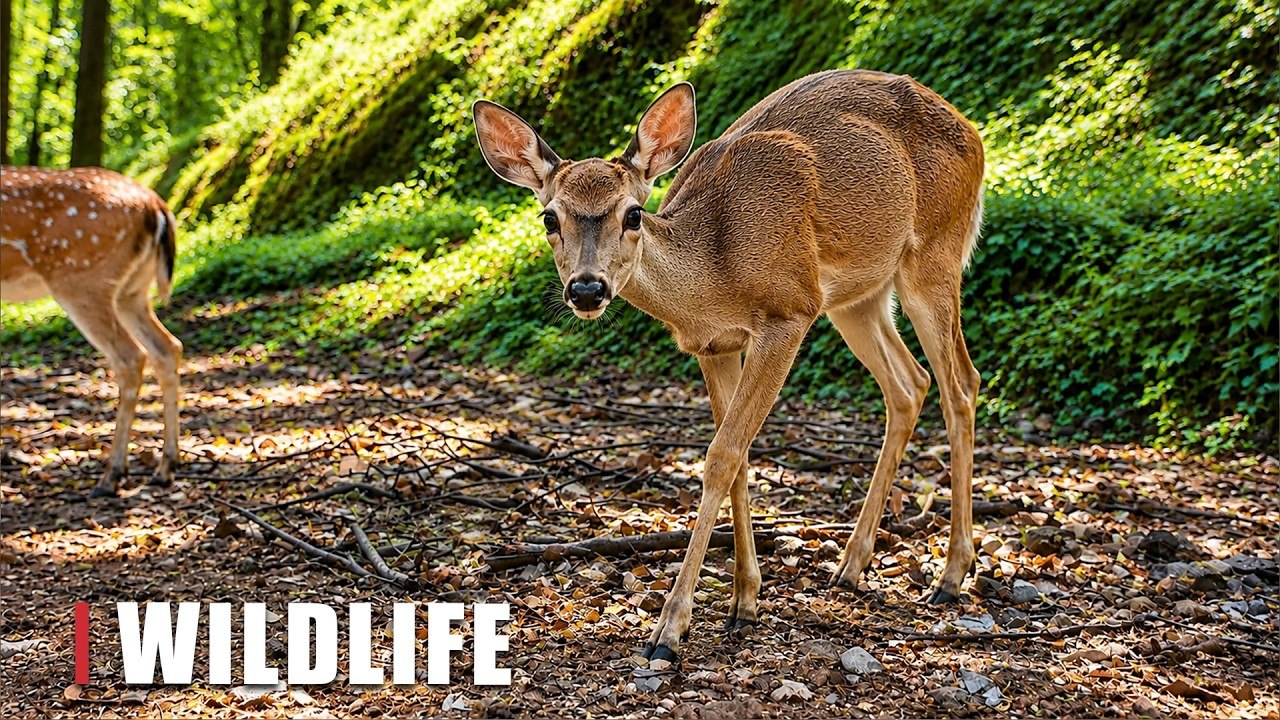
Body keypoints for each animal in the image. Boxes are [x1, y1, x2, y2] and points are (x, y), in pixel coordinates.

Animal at [1, 166, 182, 498]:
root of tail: (156, 206)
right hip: (132, 290)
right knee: (167, 346)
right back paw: (165, 468)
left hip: (81, 279)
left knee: (131, 355)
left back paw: (111, 476)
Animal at [474, 69, 984, 664]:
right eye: (549, 216)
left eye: (632, 213)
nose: (586, 289)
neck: (717, 273)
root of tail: (973, 131)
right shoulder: (715, 346)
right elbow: (737, 457)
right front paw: (744, 601)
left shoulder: (789, 311)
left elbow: (721, 456)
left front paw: (669, 630)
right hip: (858, 295)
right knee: (909, 383)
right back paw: (851, 566)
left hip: (934, 253)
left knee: (961, 382)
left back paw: (951, 575)